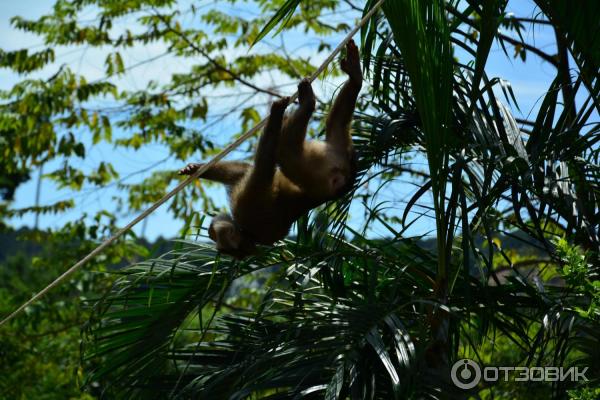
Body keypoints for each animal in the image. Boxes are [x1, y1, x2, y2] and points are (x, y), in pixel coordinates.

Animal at [180, 39, 364, 258]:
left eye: (215, 235)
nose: (211, 229)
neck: (246, 232)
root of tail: (345, 179)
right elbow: (253, 170)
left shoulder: (247, 204)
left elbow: (258, 168)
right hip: (330, 160)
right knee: (320, 132)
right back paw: (344, 84)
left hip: (325, 166)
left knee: (288, 150)